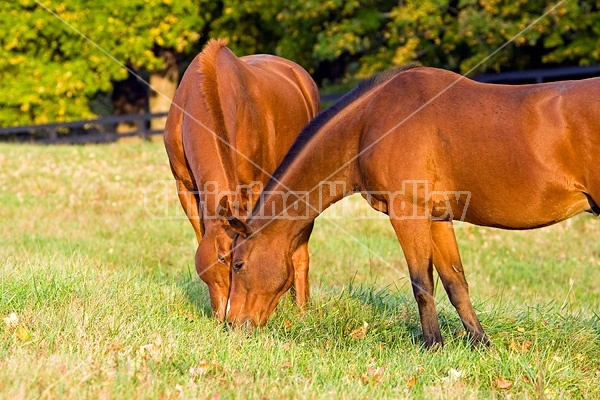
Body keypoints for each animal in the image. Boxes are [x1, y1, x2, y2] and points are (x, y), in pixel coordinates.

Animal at [225, 65, 600, 346]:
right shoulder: (438, 218)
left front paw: (433, 345)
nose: (231, 325)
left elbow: (422, 283)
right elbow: (455, 283)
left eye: (238, 264)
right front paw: (480, 343)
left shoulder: (408, 213)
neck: (368, 123)